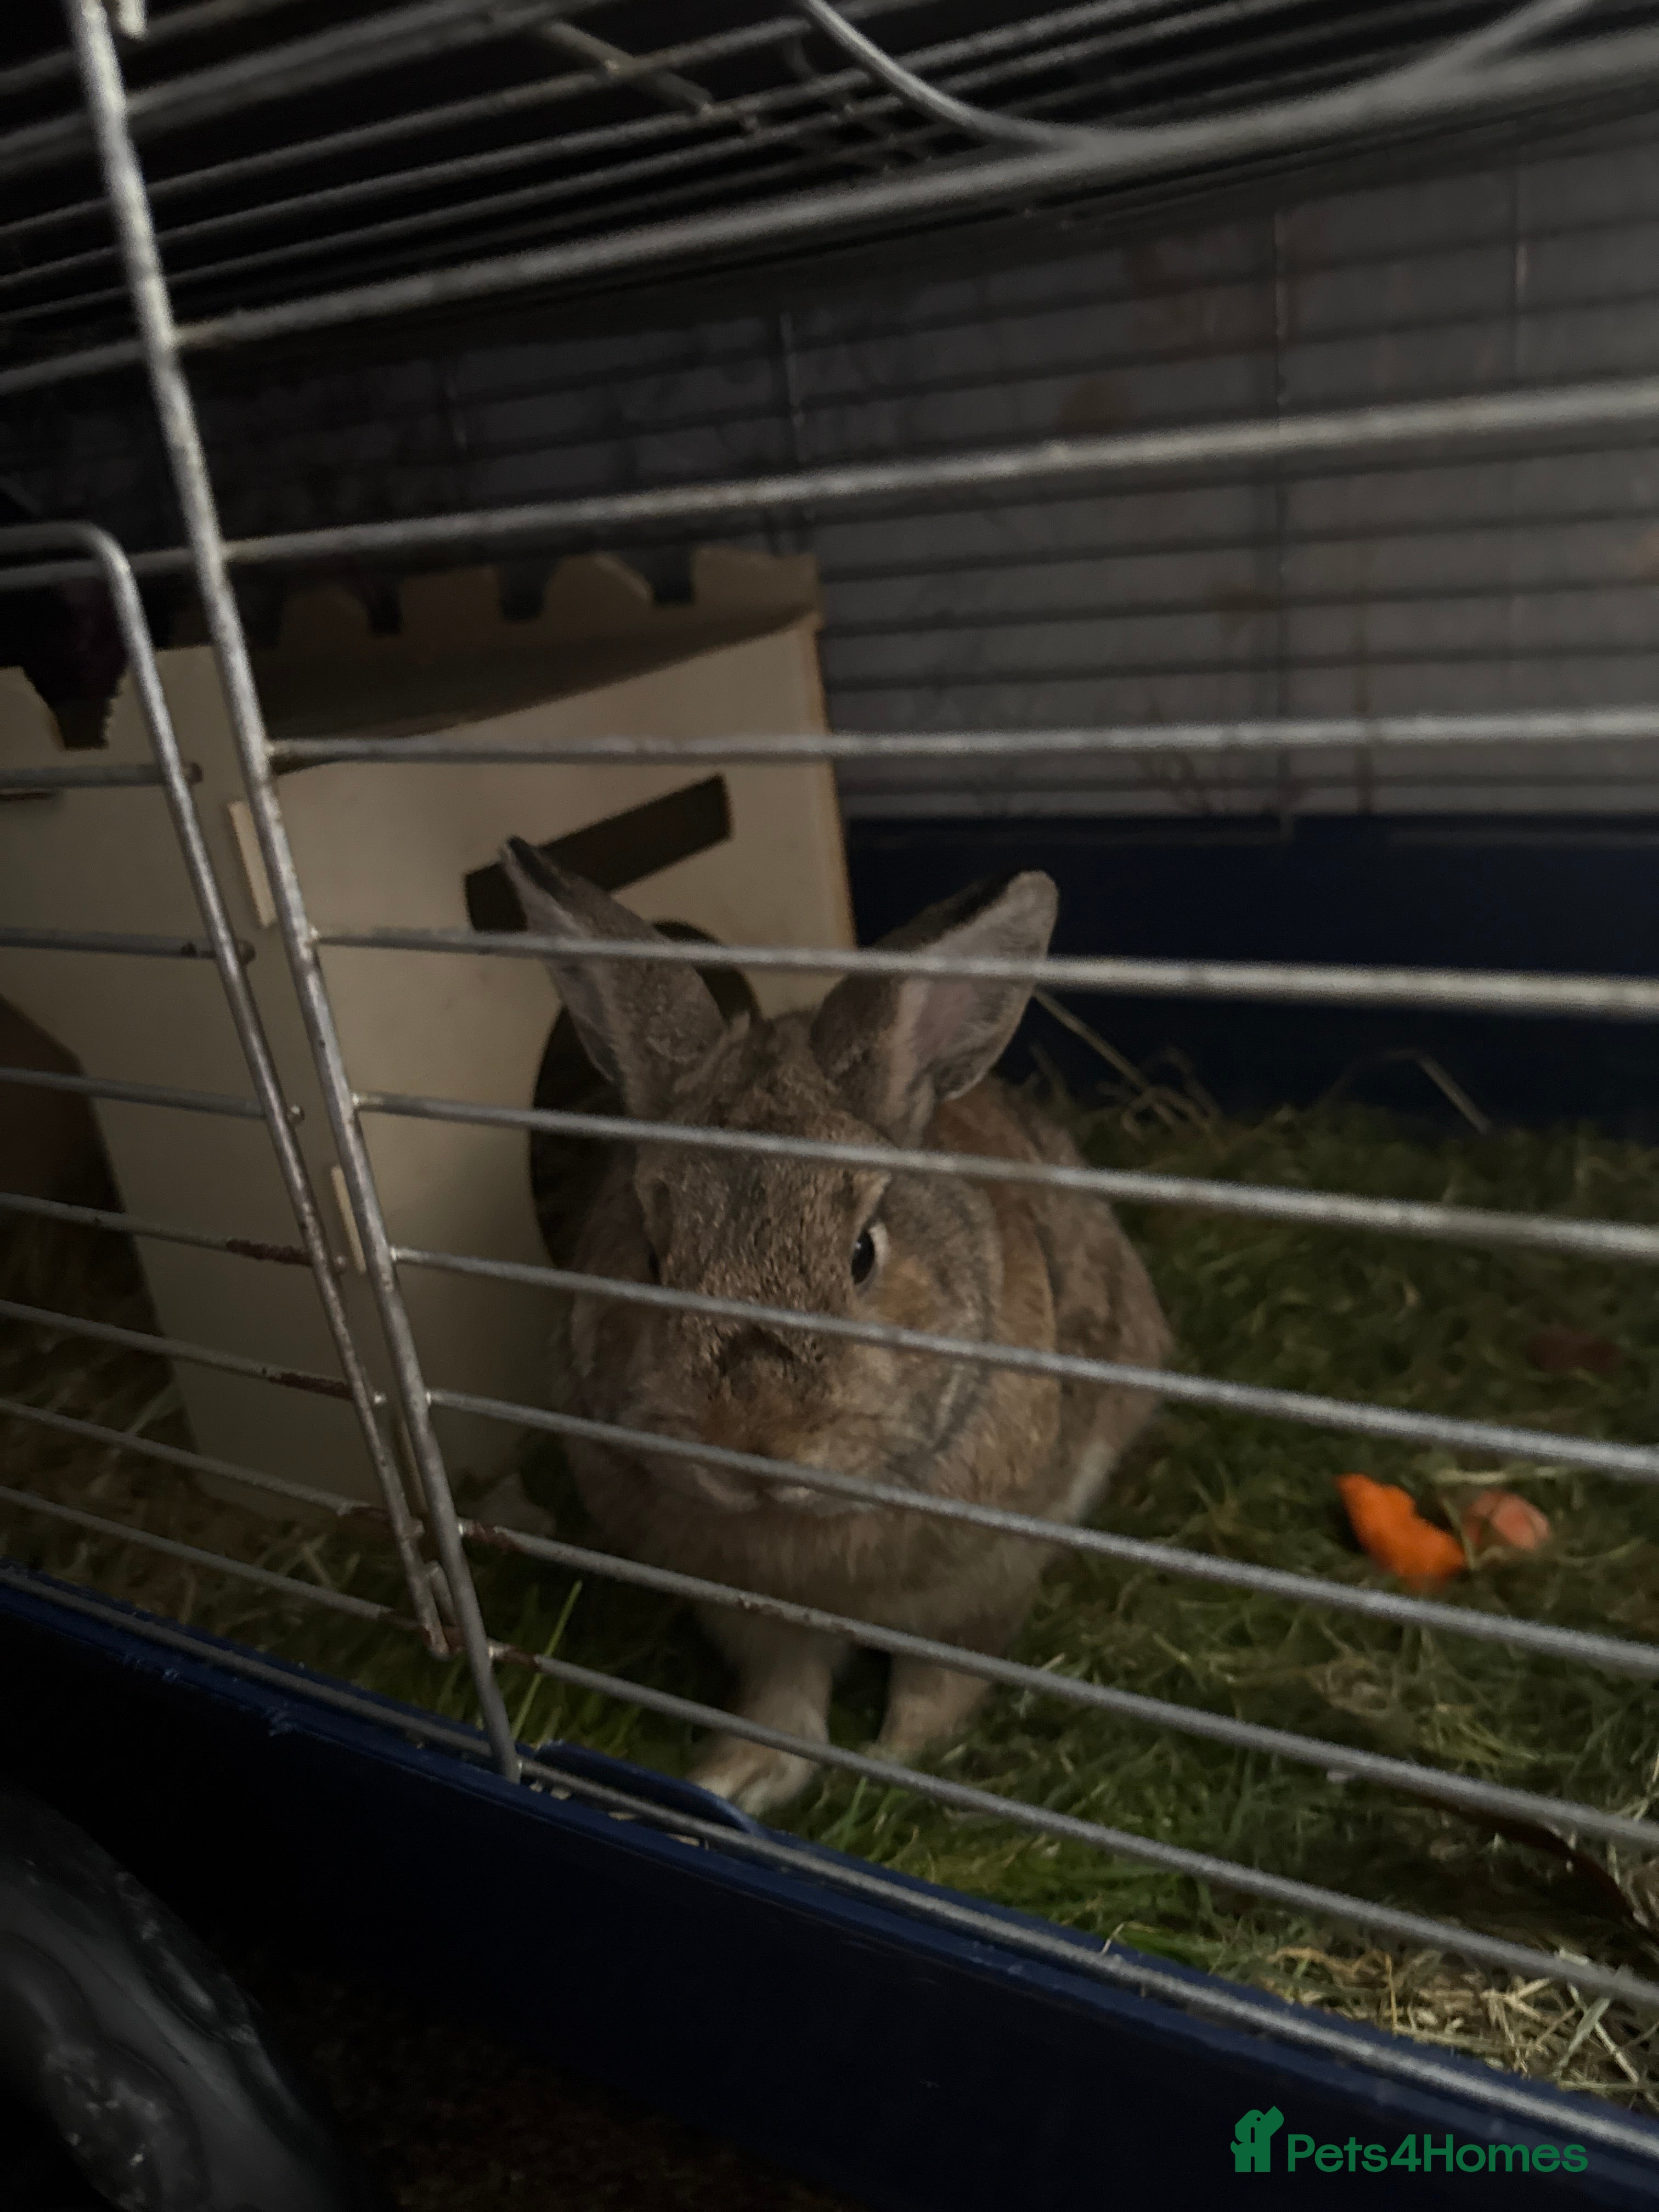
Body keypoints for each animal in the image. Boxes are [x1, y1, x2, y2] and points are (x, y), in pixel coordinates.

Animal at [502, 838, 1173, 1817]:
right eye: (654, 1257)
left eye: (862, 1253)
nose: (757, 1444)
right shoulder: (750, 1614)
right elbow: (785, 1702)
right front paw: (736, 1779)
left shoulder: (979, 1586)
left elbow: (937, 1691)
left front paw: (895, 1768)